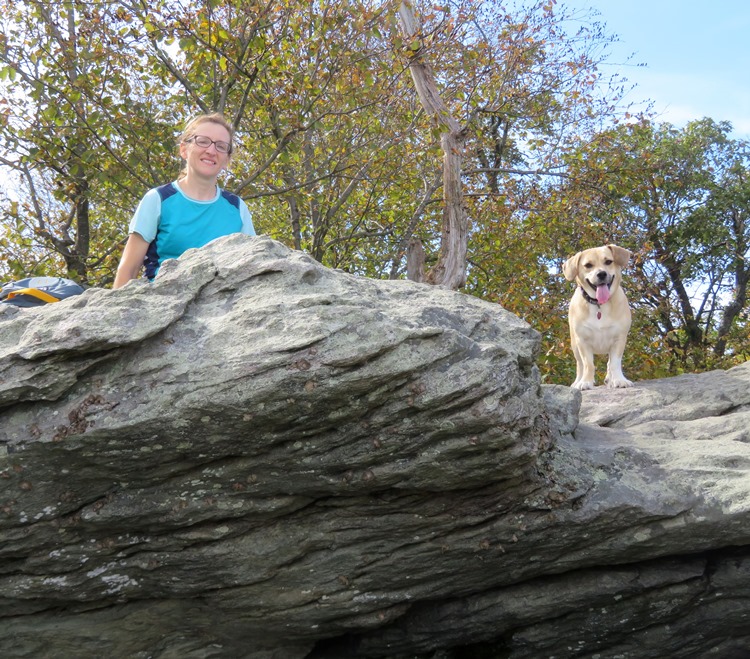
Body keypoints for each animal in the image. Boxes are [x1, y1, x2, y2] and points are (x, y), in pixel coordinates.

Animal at [564, 248, 636, 392]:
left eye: (608, 261)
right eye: (588, 265)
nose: (602, 274)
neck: (599, 305)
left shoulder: (619, 339)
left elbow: (614, 363)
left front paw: (619, 380)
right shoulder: (583, 342)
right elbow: (588, 364)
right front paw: (585, 382)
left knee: (609, 364)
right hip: (574, 344)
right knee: (580, 365)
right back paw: (577, 381)